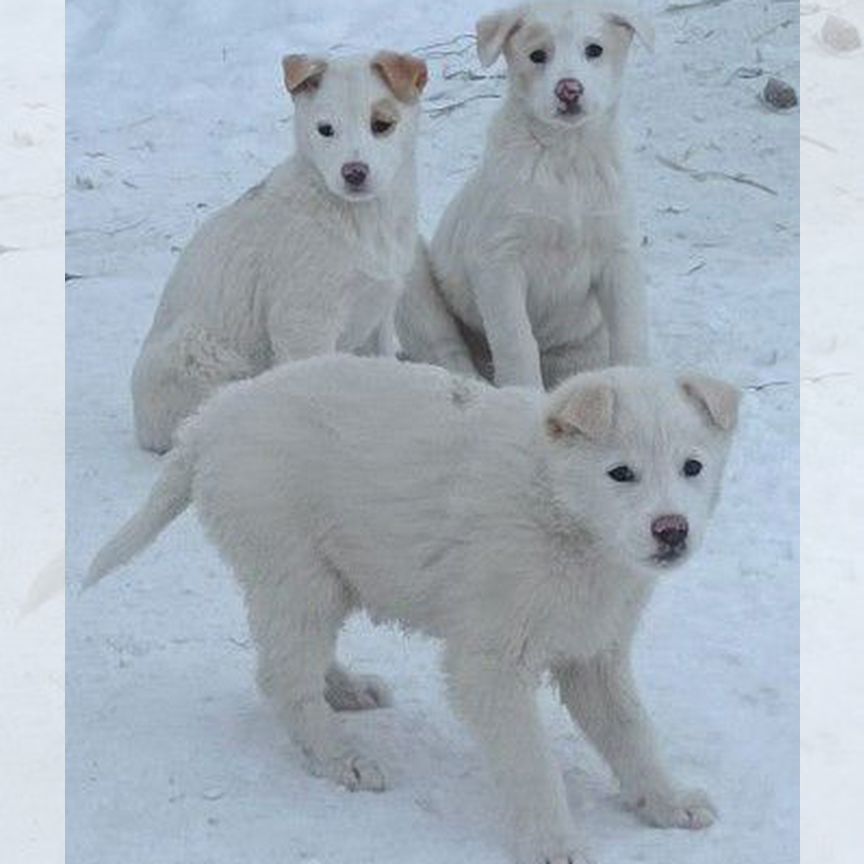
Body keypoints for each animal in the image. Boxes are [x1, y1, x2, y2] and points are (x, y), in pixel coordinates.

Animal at [88, 352, 740, 864]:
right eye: (620, 474)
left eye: (692, 467)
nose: (672, 530)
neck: (560, 508)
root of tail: (211, 418)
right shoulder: (490, 662)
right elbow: (531, 762)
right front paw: (554, 842)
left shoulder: (594, 651)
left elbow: (631, 732)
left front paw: (667, 802)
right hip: (293, 569)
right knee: (282, 676)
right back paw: (342, 758)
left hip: (322, 577)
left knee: (297, 659)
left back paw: (346, 690)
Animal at [132, 49, 428, 452]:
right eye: (325, 130)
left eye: (381, 124)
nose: (353, 172)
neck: (360, 217)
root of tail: (140, 422)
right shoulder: (305, 321)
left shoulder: (379, 309)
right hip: (200, 355)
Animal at [398, 0, 656, 390]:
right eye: (537, 55)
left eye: (594, 50)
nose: (569, 90)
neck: (566, 158)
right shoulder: (499, 260)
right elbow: (517, 341)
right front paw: (524, 395)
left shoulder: (619, 253)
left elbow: (630, 335)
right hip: (414, 283)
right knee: (446, 351)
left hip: (584, 341)